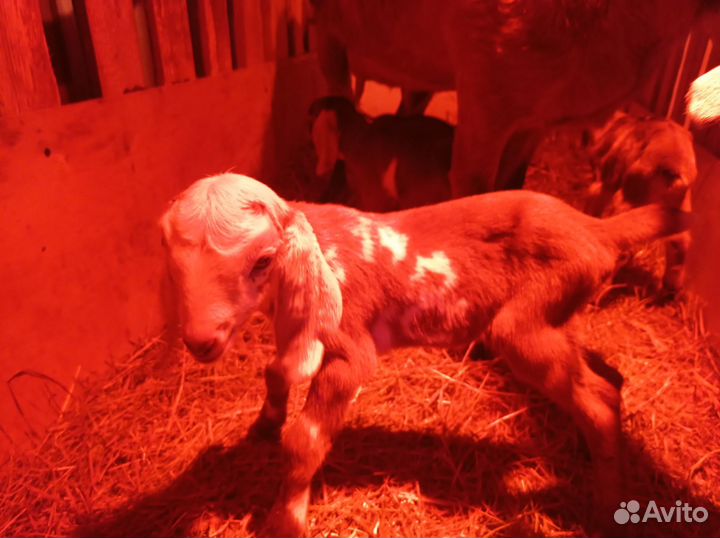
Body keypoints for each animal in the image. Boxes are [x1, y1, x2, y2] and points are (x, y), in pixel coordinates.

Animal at [160, 173, 688, 537]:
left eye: (263, 260)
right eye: (172, 258)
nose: (201, 340)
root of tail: (596, 230)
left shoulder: (350, 348)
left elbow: (304, 440)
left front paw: (283, 522)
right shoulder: (298, 330)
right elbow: (275, 371)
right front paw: (263, 425)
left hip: (525, 324)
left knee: (596, 397)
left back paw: (605, 510)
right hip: (559, 316)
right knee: (608, 380)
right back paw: (590, 455)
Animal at [309, 0, 719, 197]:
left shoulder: (536, 118)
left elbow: (511, 185)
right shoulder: (484, 98)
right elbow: (474, 191)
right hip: (330, 29)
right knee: (332, 114)